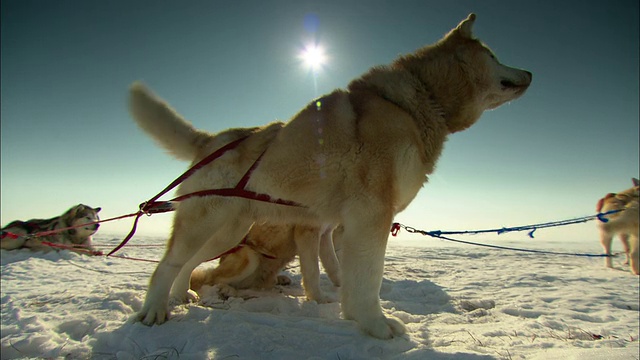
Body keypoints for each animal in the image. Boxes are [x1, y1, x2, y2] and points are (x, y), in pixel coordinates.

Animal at [189, 224, 340, 302]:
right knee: (211, 279)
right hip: (250, 257)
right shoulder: (308, 233)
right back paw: (227, 290)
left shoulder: (325, 234)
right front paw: (319, 300)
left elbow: (333, 266)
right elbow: (313, 273)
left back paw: (279, 279)